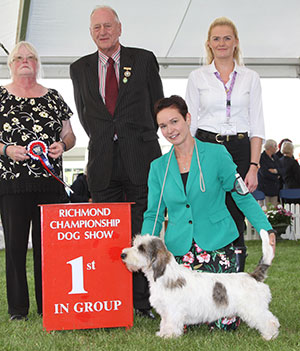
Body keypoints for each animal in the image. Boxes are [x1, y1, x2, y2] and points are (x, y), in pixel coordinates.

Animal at [120, 231, 280, 340]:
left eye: (141, 248)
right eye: (136, 244)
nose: (123, 254)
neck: (164, 275)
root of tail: (254, 276)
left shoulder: (173, 311)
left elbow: (171, 323)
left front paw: (169, 336)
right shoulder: (165, 312)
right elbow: (165, 323)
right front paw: (162, 334)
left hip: (255, 309)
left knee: (270, 321)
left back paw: (270, 336)